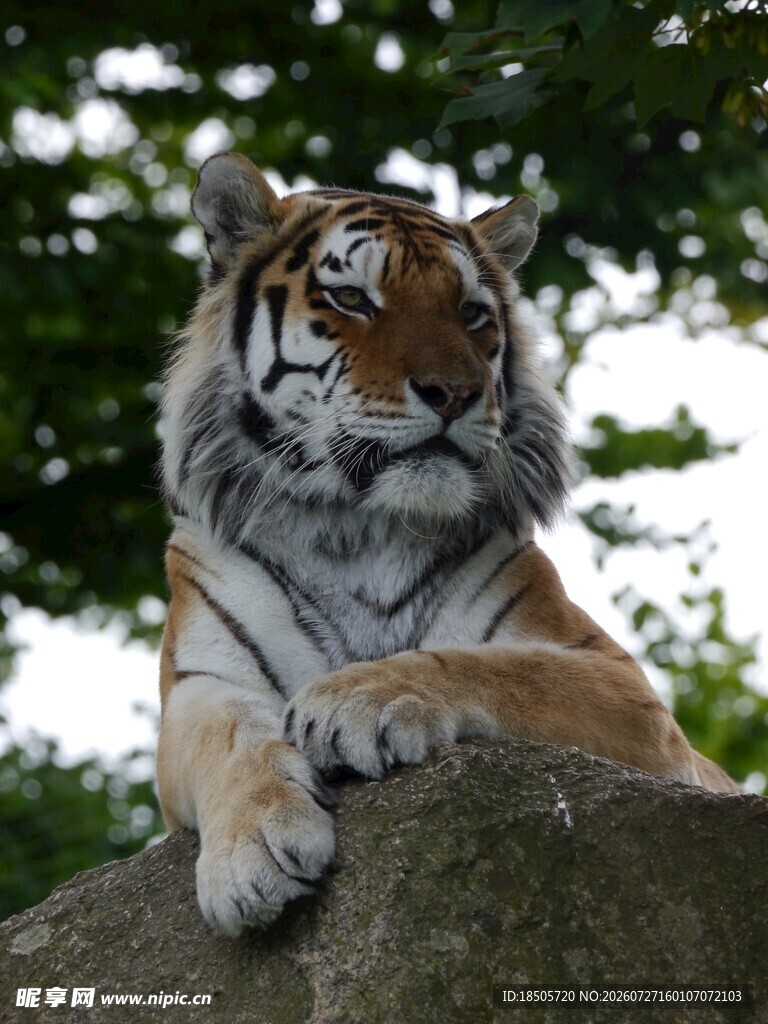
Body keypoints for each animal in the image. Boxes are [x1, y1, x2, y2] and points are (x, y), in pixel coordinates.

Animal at [157, 151, 740, 938]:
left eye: (472, 313)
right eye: (351, 298)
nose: (454, 391)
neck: (361, 526)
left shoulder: (625, 687)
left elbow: (494, 667)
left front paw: (356, 698)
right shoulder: (199, 685)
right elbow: (230, 736)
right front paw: (253, 854)